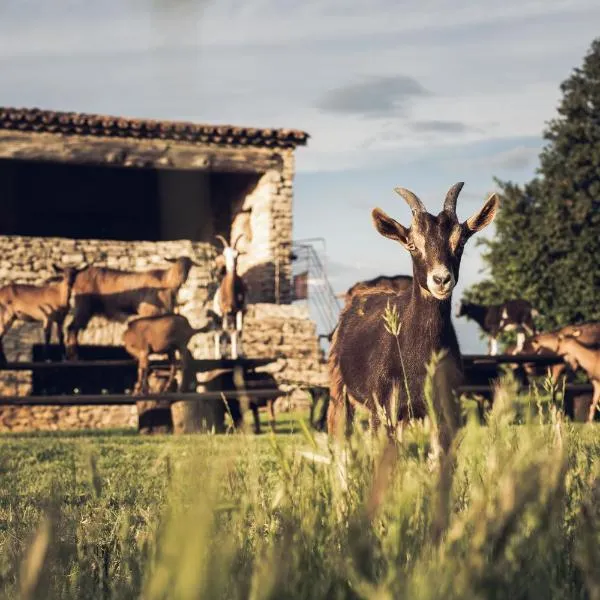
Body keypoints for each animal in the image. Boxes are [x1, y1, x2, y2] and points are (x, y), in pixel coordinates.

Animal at [65, 255, 198, 358]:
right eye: (177, 264)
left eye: (190, 266)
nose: (182, 278)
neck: (165, 283)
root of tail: (78, 275)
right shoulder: (148, 311)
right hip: (83, 305)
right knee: (72, 328)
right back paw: (74, 356)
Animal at [326, 180, 500, 448]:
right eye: (412, 245)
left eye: (460, 243)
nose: (441, 279)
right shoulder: (382, 411)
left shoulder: (444, 410)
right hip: (339, 388)